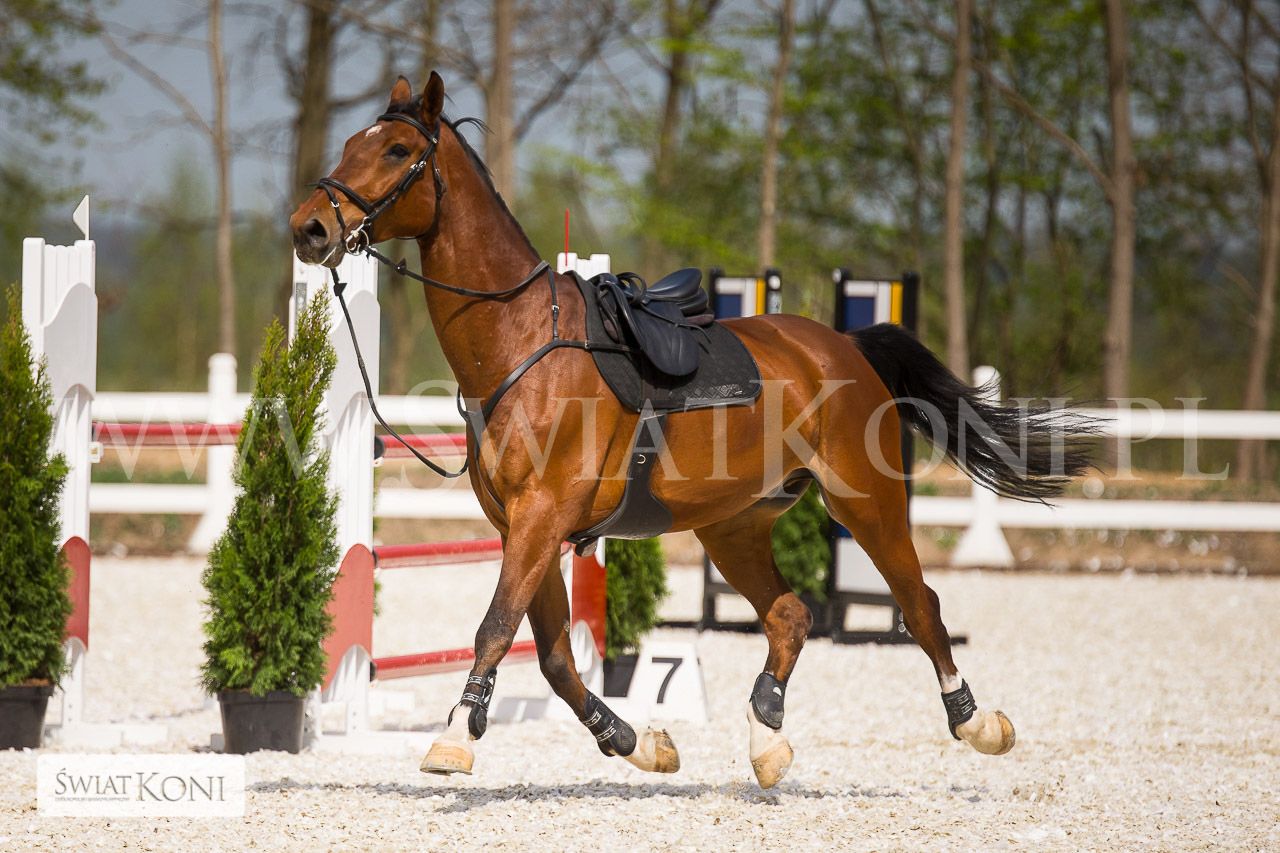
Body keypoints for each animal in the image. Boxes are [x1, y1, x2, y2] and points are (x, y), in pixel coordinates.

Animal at [289, 73, 1091, 788]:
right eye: (353, 143)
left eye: (396, 150)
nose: (309, 227)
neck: (523, 344)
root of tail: (845, 346)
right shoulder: (526, 527)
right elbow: (554, 656)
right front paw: (641, 744)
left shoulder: (541, 518)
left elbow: (495, 628)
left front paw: (455, 738)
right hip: (732, 524)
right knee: (790, 615)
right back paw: (766, 738)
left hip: (865, 503)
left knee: (920, 607)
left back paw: (977, 723)